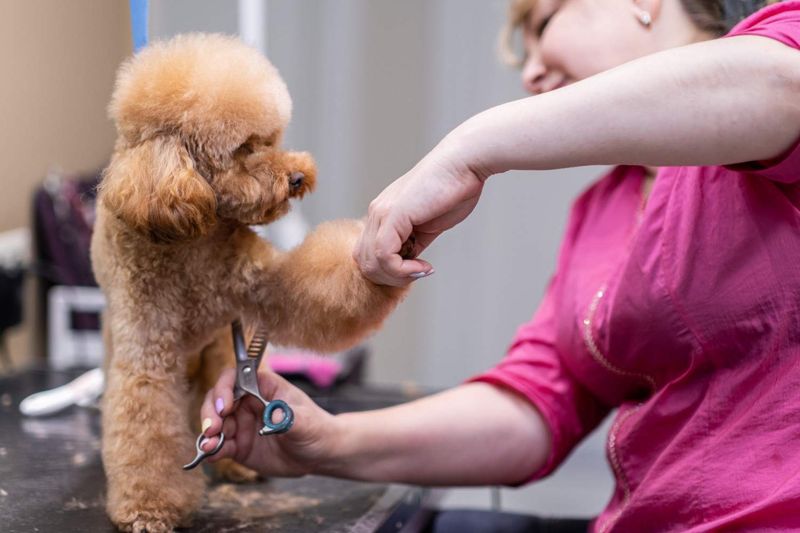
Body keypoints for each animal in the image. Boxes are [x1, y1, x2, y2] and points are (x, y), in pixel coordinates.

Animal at [90, 34, 406, 532]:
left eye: (271, 138)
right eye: (242, 148)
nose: (297, 177)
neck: (192, 242)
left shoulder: (263, 286)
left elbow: (310, 286)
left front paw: (386, 255)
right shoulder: (146, 353)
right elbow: (145, 428)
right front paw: (149, 507)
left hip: (221, 348)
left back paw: (236, 462)